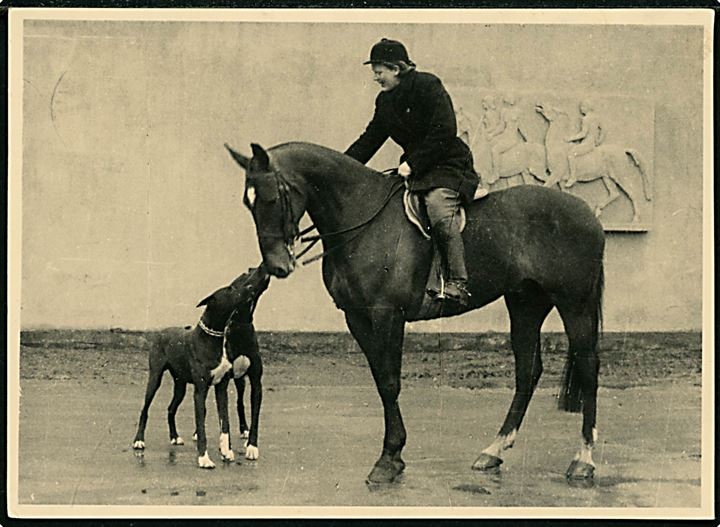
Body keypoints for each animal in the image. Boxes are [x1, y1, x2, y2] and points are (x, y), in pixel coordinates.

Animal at [131, 266, 268, 468]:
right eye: (231, 289)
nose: (251, 286)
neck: (213, 338)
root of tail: (161, 332)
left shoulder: (222, 388)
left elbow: (225, 422)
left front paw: (226, 451)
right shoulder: (201, 390)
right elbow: (201, 426)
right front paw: (204, 458)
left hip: (180, 385)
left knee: (171, 408)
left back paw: (175, 437)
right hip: (154, 378)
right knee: (144, 409)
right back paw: (139, 440)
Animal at [224, 141, 600, 486]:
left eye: (273, 196)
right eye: (247, 201)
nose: (276, 266)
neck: (361, 219)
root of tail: (587, 212)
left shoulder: (388, 315)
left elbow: (390, 382)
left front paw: (388, 457)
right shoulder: (357, 319)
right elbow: (380, 380)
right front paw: (394, 455)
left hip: (574, 304)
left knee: (588, 366)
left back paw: (583, 459)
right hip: (525, 303)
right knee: (528, 371)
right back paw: (493, 450)